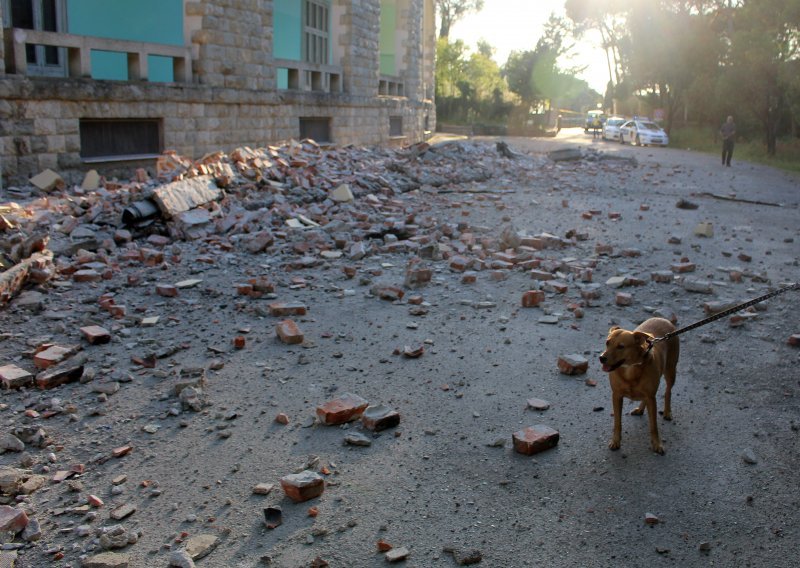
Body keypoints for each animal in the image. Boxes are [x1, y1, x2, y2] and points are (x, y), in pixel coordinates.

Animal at [600, 318, 680, 454]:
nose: (601, 358)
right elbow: (617, 422)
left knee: (668, 391)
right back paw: (640, 409)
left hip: (670, 371)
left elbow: (653, 425)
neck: (630, 370)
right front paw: (615, 441)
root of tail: (664, 319)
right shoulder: (616, 396)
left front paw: (657, 444)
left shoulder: (651, 397)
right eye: (607, 343)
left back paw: (667, 412)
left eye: (621, 346)